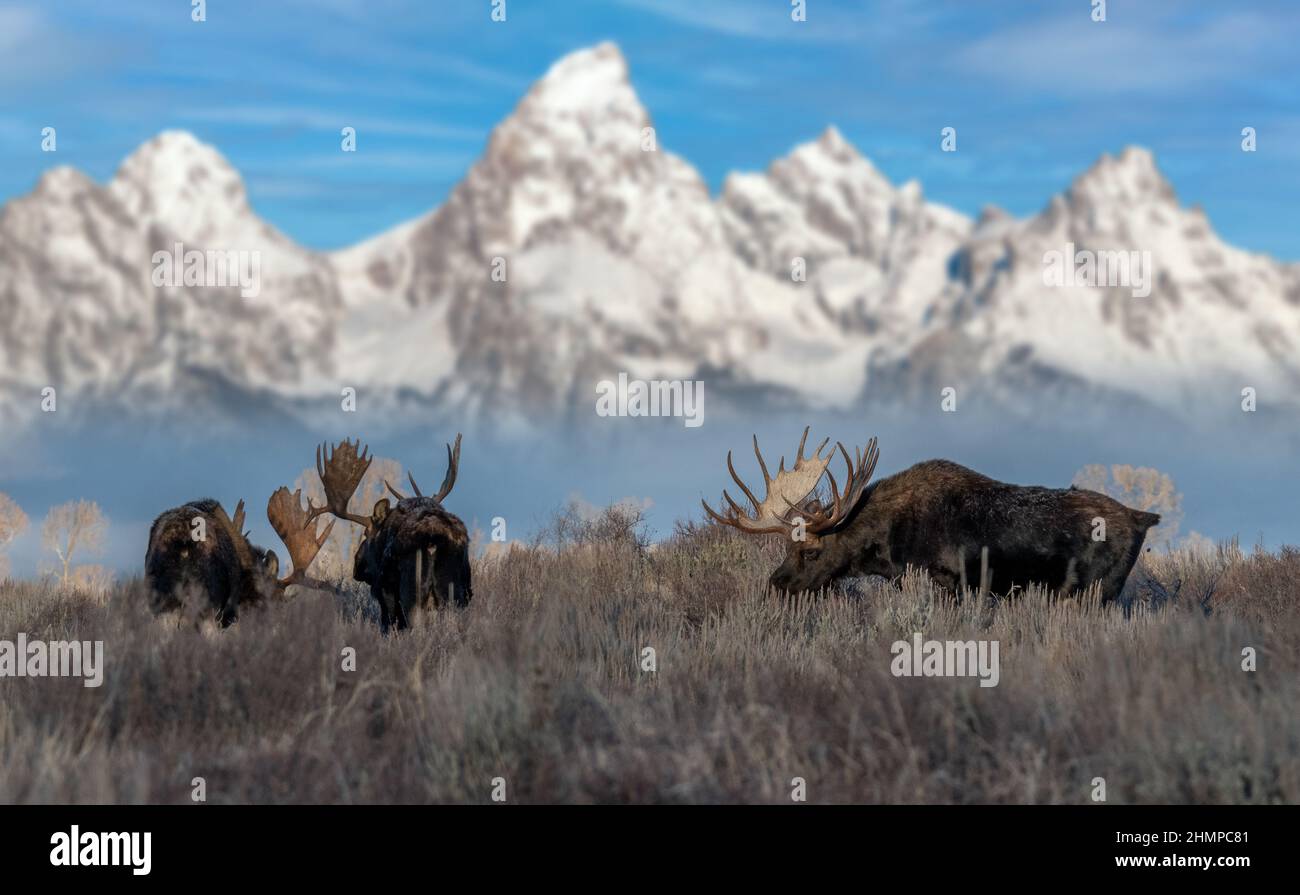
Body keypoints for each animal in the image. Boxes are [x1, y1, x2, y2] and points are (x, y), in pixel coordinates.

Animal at [295, 437, 473, 632]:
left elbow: (387, 625)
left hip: (412, 592)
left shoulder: (384, 591)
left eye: (366, 533)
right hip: (457, 593)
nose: (356, 565)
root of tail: (434, 541)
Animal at [707, 426, 1164, 601]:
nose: (777, 583)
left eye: (812, 552)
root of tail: (1144, 518)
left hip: (1098, 591)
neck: (885, 544)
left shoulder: (948, 582)